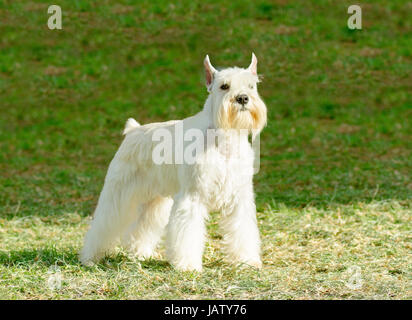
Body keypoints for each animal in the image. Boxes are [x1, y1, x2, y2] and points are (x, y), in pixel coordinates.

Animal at [79, 53, 268, 272]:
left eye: (251, 85)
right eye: (224, 86)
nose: (243, 98)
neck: (224, 137)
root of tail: (133, 130)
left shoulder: (239, 198)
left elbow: (243, 231)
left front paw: (246, 260)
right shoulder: (192, 197)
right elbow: (188, 233)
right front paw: (188, 265)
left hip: (155, 201)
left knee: (140, 228)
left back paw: (140, 253)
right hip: (118, 195)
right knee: (103, 224)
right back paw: (90, 257)